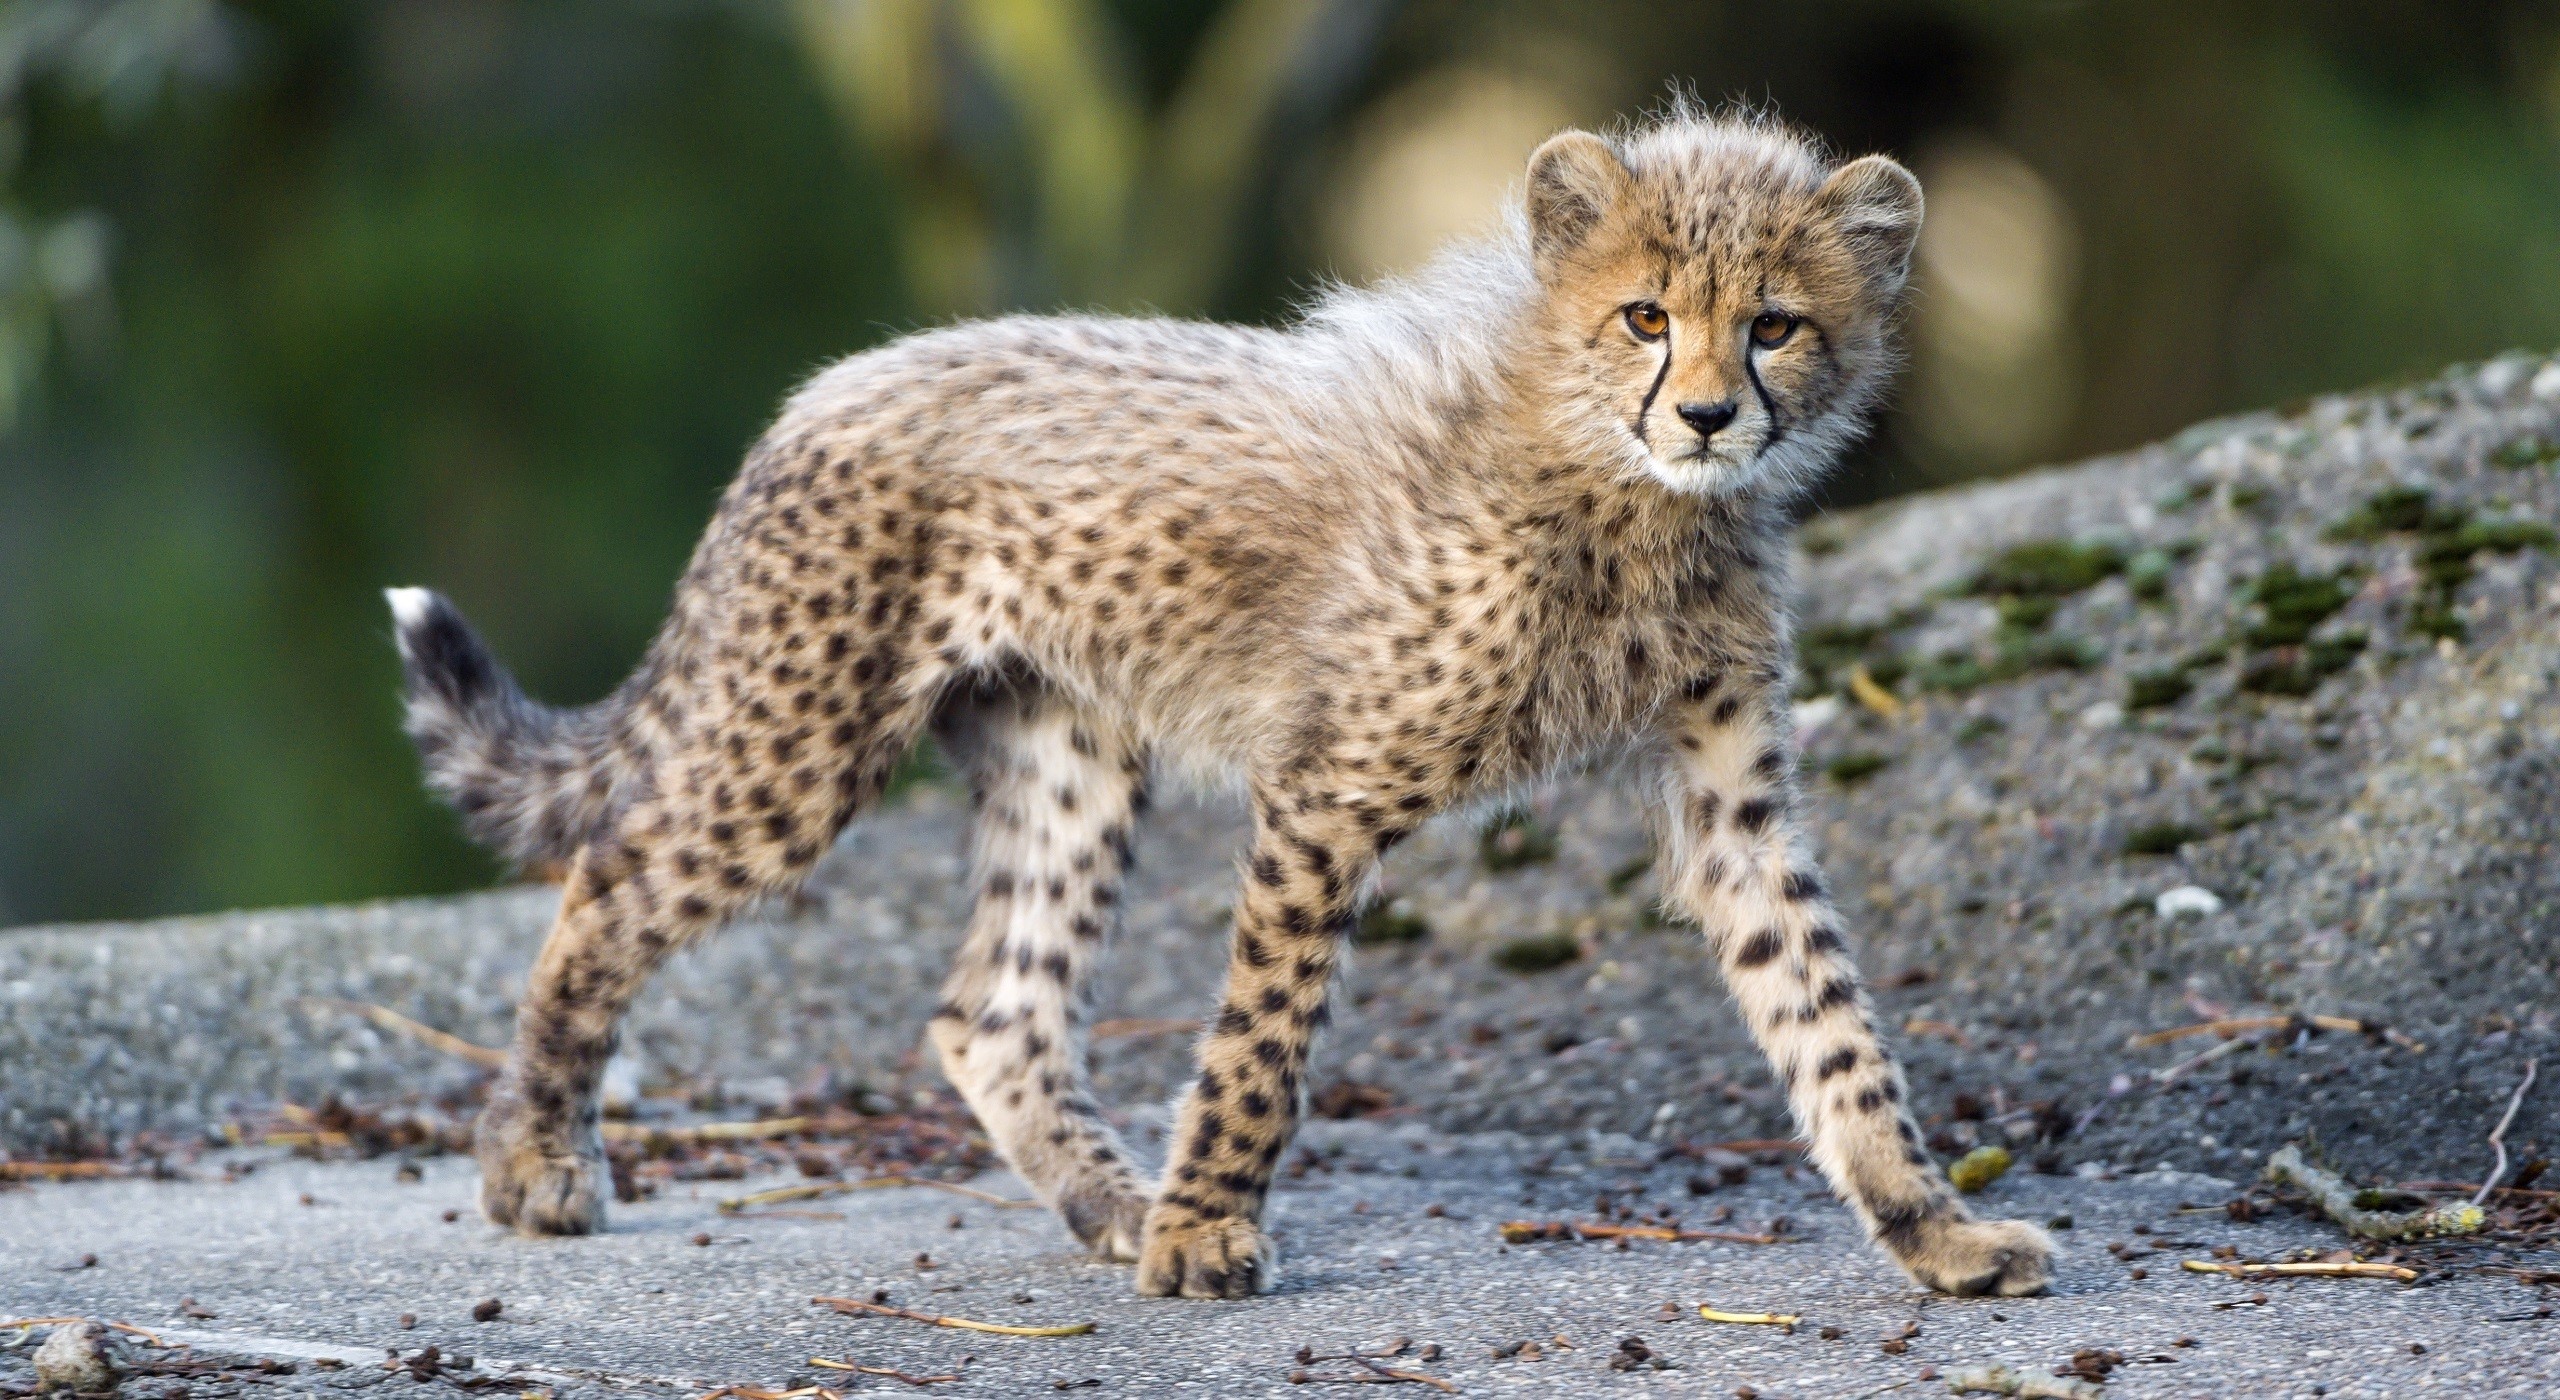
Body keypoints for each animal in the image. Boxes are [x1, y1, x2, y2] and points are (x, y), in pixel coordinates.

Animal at [386, 105, 2054, 1300]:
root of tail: (829, 385)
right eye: (1646, 317)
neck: (1625, 493)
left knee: (989, 1012)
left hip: (1069, 753)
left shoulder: (1730, 799)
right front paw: (1209, 1234)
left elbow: (1827, 1016)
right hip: (799, 741)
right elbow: (1264, 1036)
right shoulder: (1331, 785)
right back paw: (536, 1166)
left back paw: (1109, 1204)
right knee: (609, 887)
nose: (1707, 415)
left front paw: (1934, 1229)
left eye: (1774, 324)